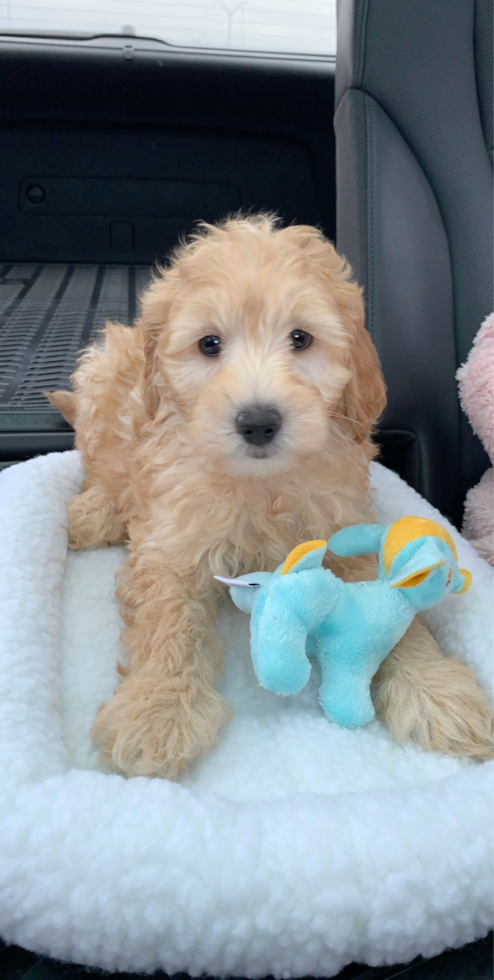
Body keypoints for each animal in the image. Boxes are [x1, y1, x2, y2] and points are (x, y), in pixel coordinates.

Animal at [47, 214, 494, 772]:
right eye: (209, 344)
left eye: (300, 338)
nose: (258, 422)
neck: (263, 484)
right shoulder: (170, 543)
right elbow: (166, 621)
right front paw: (157, 708)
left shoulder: (342, 532)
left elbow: (391, 611)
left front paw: (434, 689)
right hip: (101, 376)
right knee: (99, 463)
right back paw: (96, 510)